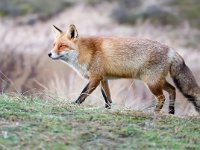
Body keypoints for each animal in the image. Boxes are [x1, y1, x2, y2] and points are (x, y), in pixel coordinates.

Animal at [48, 24, 200, 114]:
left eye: (62, 46)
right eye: (54, 44)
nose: (49, 54)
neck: (87, 52)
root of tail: (171, 49)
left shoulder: (95, 78)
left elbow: (83, 94)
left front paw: (73, 105)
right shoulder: (103, 79)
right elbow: (107, 98)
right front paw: (108, 110)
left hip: (151, 82)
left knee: (162, 97)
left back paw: (155, 113)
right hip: (157, 81)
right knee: (173, 90)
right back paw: (171, 111)